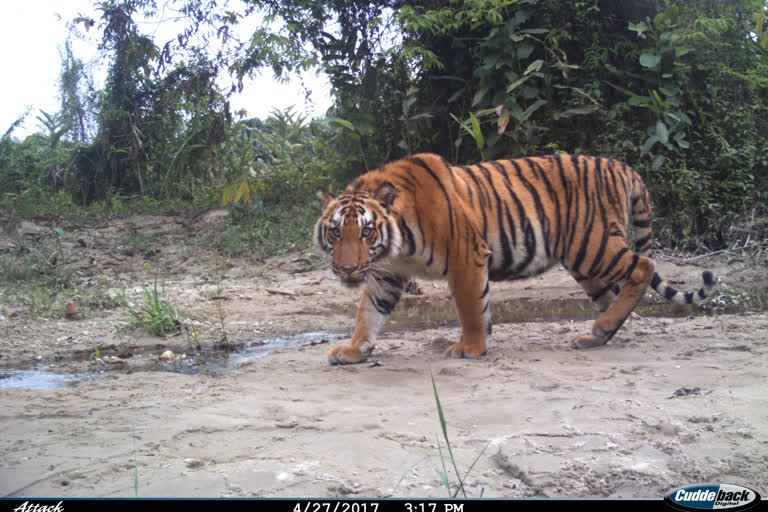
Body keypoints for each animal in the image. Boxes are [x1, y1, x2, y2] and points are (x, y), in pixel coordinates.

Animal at [310, 152, 712, 364]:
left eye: (365, 232)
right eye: (336, 232)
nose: (347, 269)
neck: (396, 245)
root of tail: (620, 165)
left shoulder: (466, 256)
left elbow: (471, 307)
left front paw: (471, 347)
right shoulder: (386, 274)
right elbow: (368, 313)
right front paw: (354, 349)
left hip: (593, 245)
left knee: (644, 267)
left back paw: (600, 330)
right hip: (586, 263)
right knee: (614, 294)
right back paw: (597, 335)